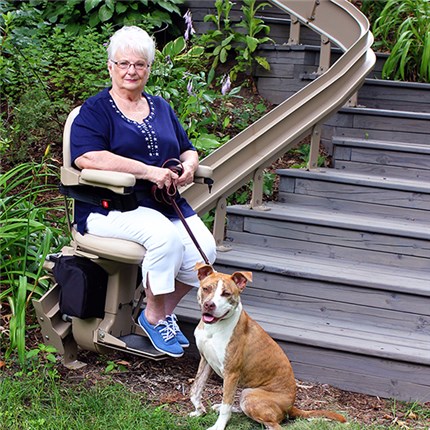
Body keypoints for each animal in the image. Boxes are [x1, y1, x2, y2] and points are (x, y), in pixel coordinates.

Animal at [189, 262, 346, 430]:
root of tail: (291, 406)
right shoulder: (206, 360)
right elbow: (196, 389)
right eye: (206, 288)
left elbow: (226, 404)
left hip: (250, 394)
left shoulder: (231, 373)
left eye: (226, 293)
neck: (213, 328)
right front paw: (199, 411)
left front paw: (218, 426)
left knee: (273, 424)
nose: (209, 305)